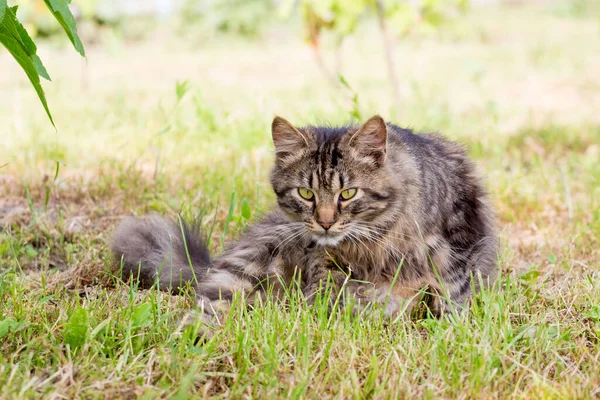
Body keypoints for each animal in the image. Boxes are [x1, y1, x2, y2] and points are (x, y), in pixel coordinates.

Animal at [111, 115, 496, 328]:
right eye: (306, 193)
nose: (325, 223)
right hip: (244, 269)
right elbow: (333, 295)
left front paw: (452, 329)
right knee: (209, 305)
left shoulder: (458, 238)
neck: (375, 239)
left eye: (348, 193)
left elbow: (454, 294)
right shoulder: (326, 263)